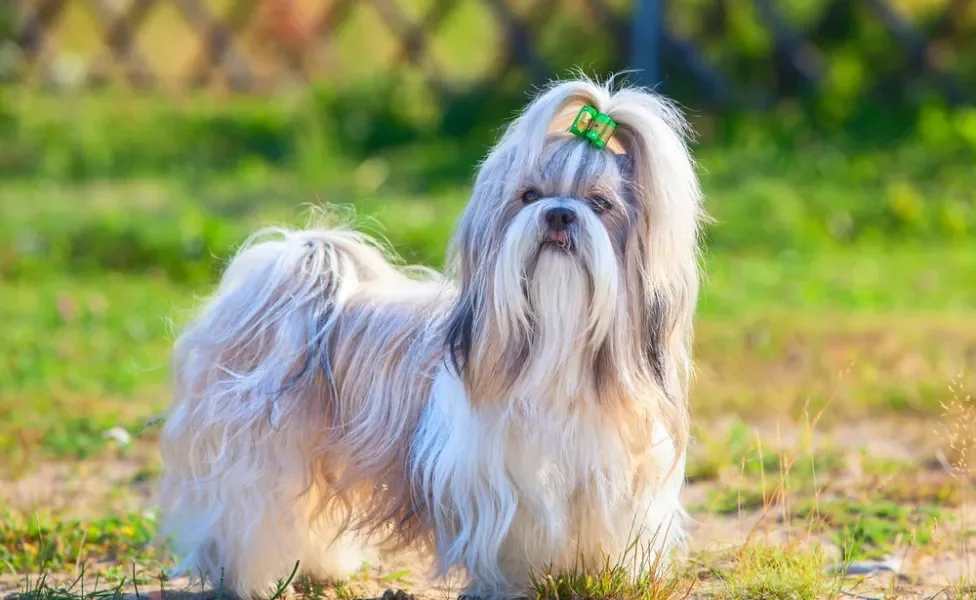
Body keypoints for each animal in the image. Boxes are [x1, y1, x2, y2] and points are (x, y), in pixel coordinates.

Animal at [160, 77, 700, 596]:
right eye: (529, 195)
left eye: (600, 203)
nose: (559, 213)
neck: (556, 345)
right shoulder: (503, 486)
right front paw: (514, 584)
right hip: (258, 456)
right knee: (246, 517)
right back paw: (247, 577)